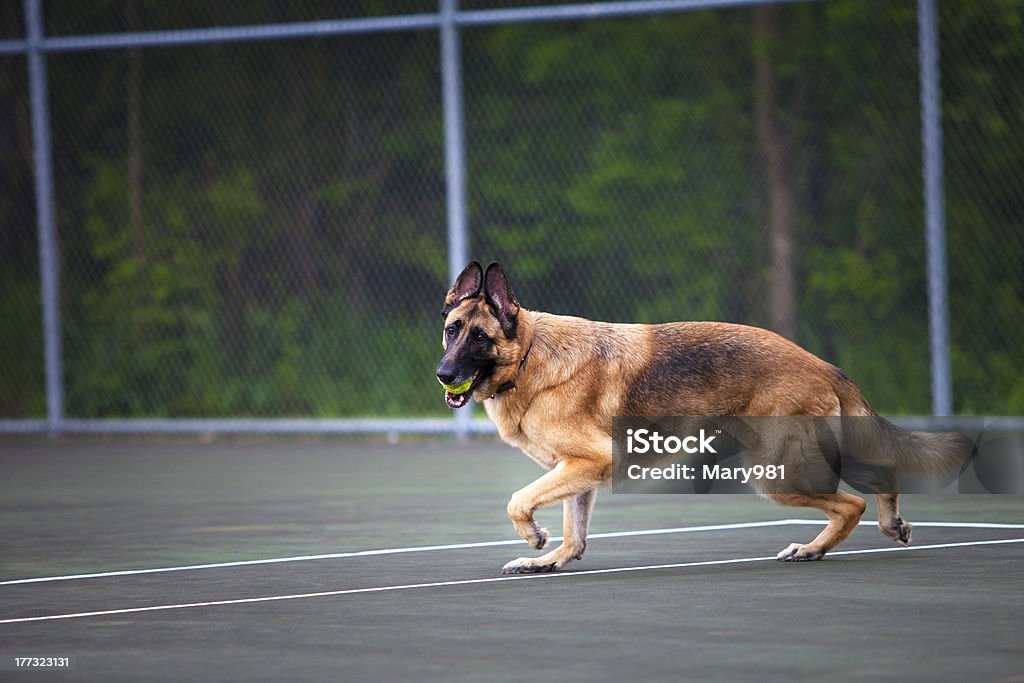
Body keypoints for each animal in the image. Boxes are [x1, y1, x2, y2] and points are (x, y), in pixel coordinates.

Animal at [436, 260, 970, 573]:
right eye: (451, 330)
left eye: (480, 337)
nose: (443, 375)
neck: (529, 355)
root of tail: (824, 365)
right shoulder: (578, 474)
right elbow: (574, 533)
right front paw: (552, 558)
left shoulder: (584, 464)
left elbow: (517, 501)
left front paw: (533, 536)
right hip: (811, 458)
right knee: (883, 475)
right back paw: (887, 526)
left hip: (777, 474)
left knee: (852, 504)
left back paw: (812, 549)